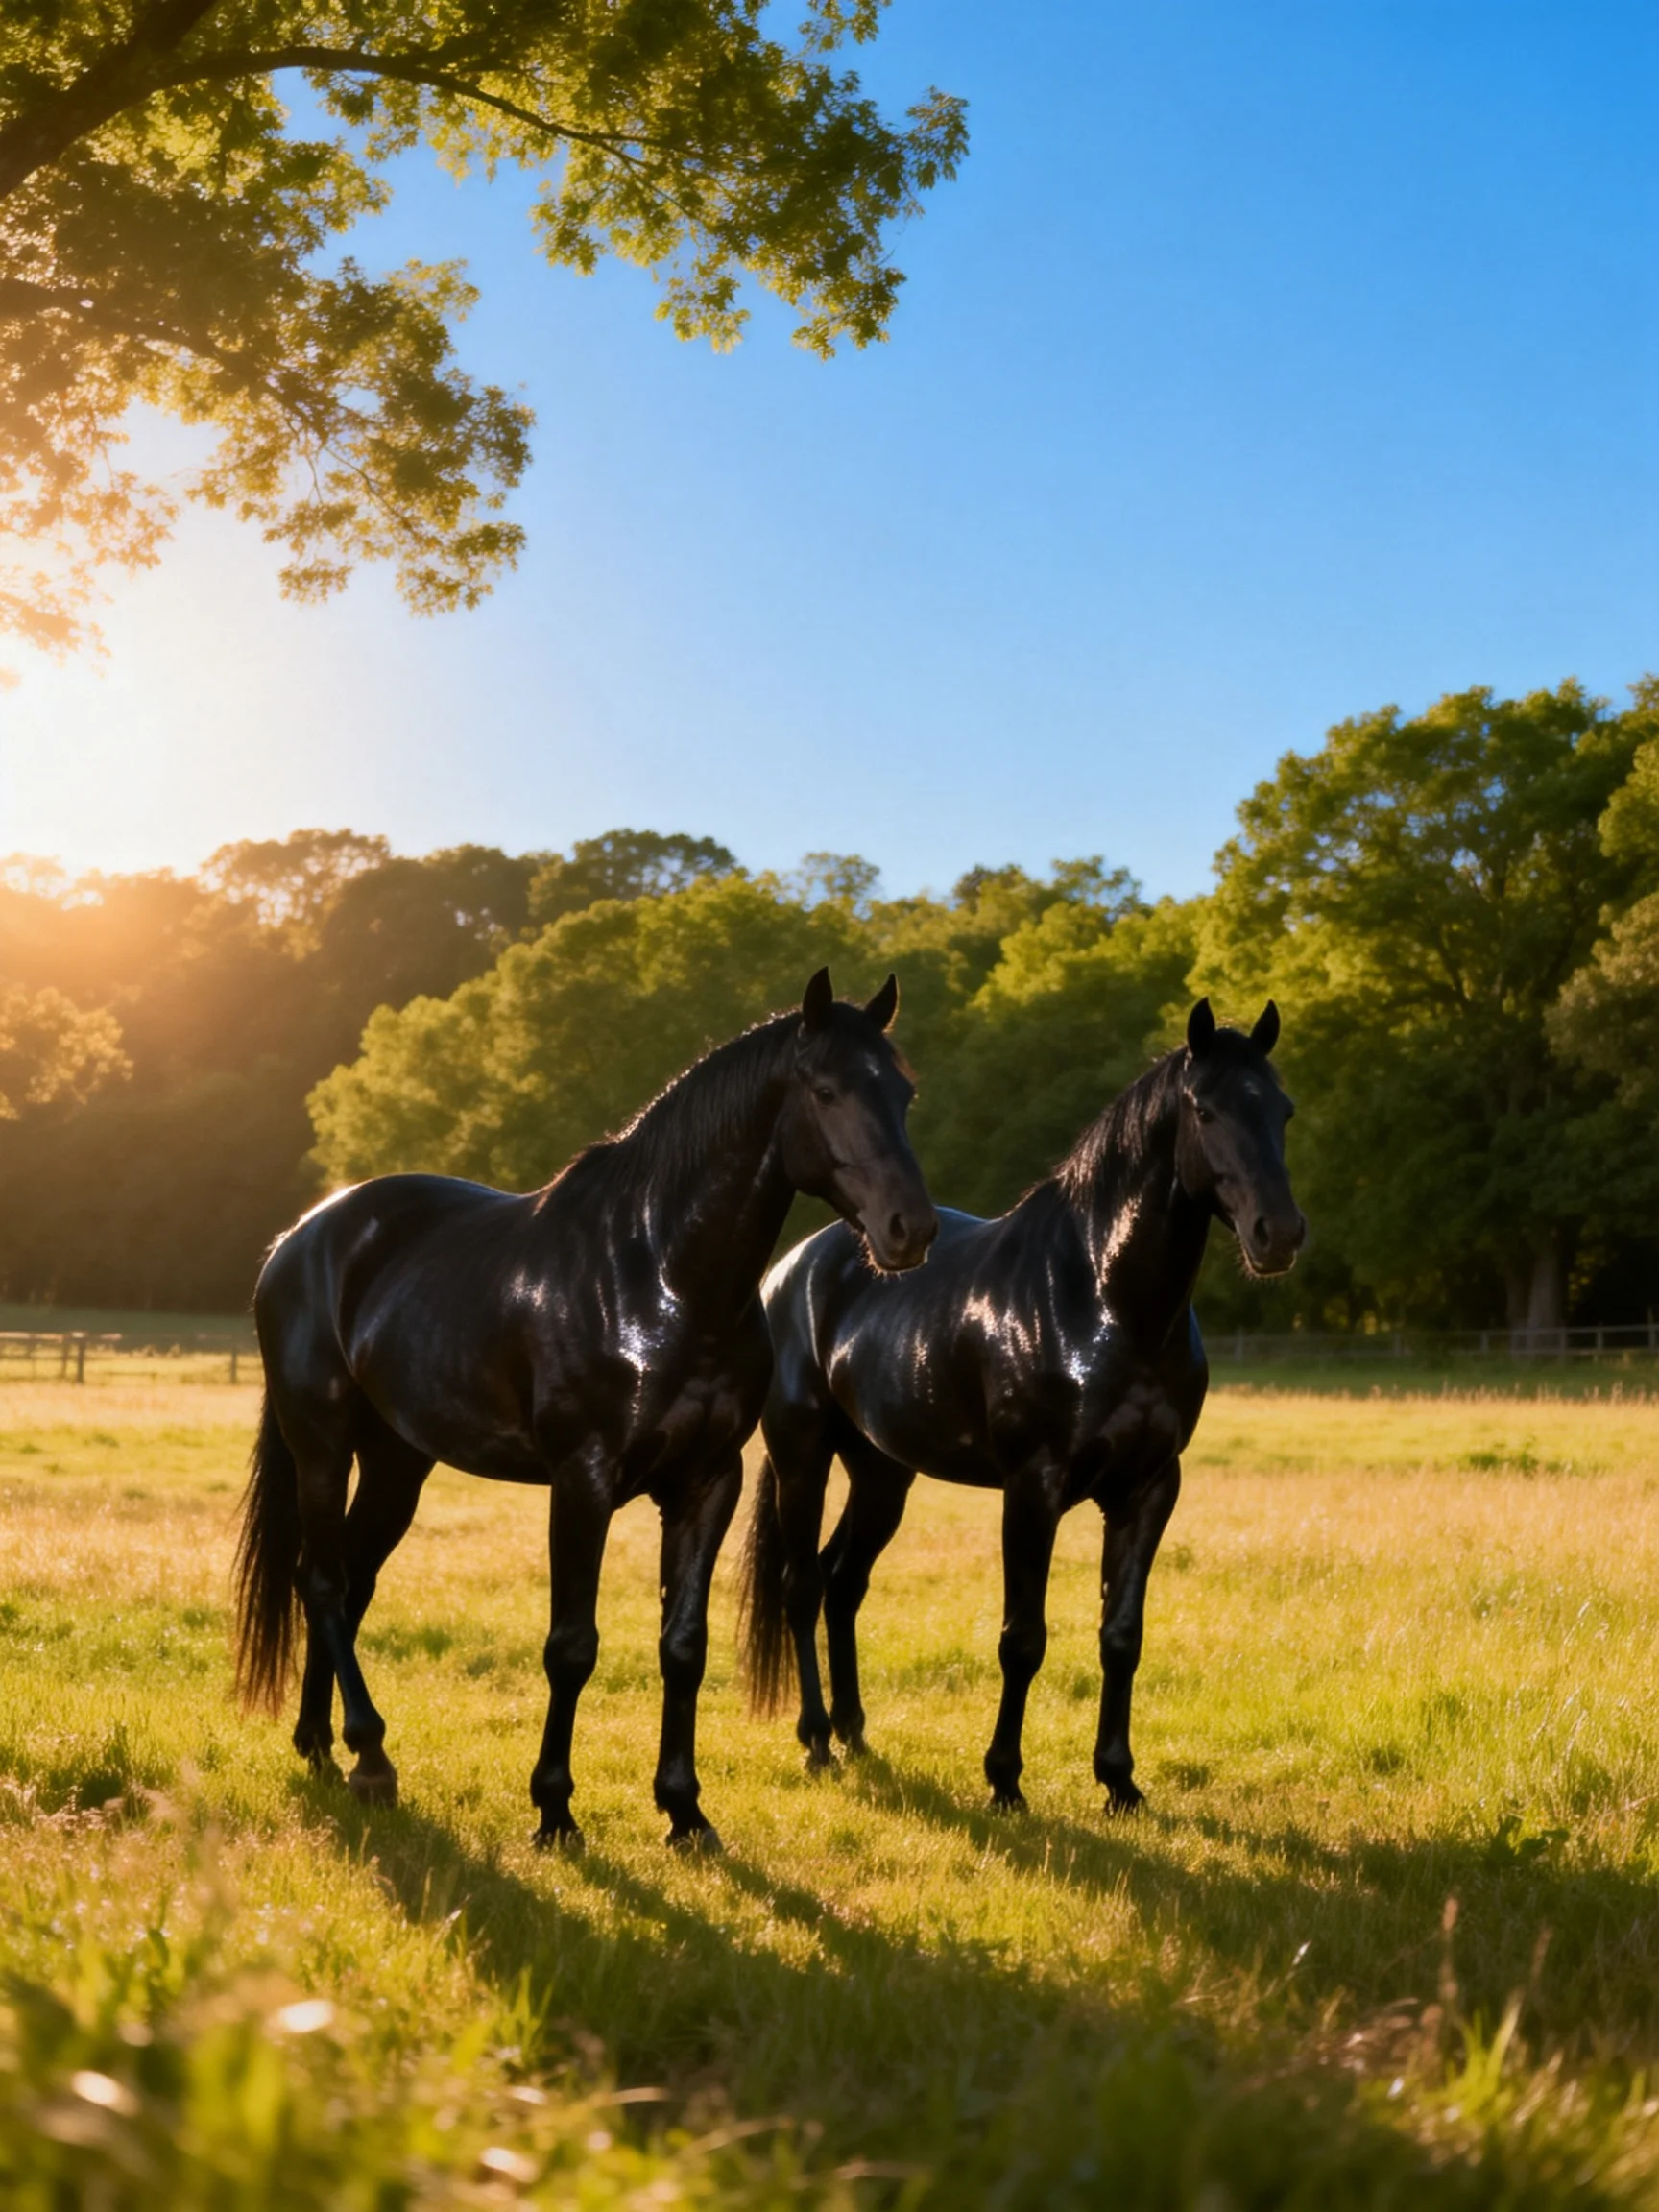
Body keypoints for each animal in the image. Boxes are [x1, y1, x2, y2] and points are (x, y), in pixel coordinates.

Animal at [234, 968, 938, 1852]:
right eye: (827, 1090)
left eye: (904, 1092)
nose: (911, 1229)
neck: (657, 1276)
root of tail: (301, 1237)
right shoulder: (582, 1482)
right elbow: (572, 1647)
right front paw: (555, 1810)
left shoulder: (709, 1484)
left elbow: (684, 1647)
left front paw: (684, 1810)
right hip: (322, 1445)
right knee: (324, 1581)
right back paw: (370, 1754)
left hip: (398, 1461)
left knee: (346, 1581)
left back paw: (322, 1746)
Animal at [740, 997, 1303, 1817]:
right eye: (1207, 1108)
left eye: (1282, 1110)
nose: (1279, 1234)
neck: (1104, 1301)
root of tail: (793, 1268)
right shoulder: (1032, 1490)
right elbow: (1023, 1638)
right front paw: (1004, 1779)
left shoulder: (1149, 1489)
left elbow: (1121, 1636)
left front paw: (1119, 1780)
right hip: (802, 1457)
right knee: (803, 1585)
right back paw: (817, 1741)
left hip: (883, 1473)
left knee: (843, 1582)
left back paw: (855, 1731)